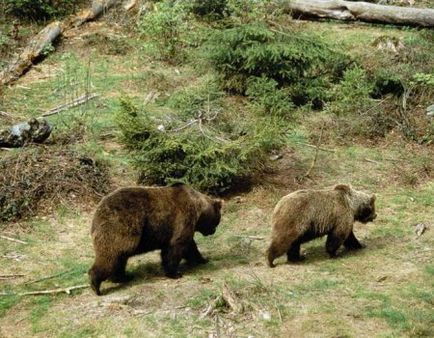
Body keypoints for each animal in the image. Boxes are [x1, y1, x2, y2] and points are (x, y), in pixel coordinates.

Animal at [89, 182, 222, 296]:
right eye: (217, 219)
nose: (213, 231)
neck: (197, 209)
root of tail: (97, 213)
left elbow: (190, 247)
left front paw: (203, 259)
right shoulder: (182, 219)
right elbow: (176, 247)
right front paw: (175, 273)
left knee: (119, 259)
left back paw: (123, 277)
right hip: (121, 226)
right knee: (111, 256)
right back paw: (96, 285)